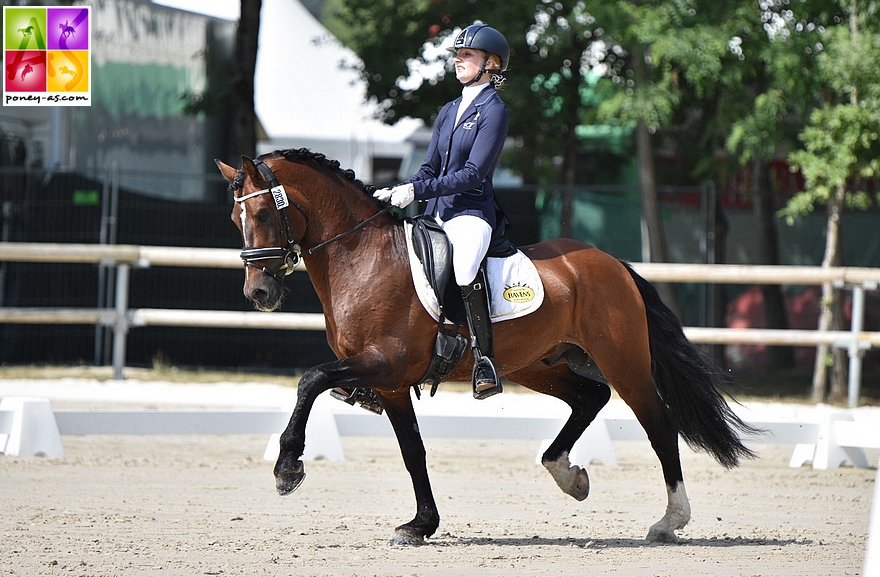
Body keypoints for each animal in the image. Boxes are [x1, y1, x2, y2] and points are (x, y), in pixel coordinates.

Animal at [215, 148, 756, 544]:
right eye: (235, 218)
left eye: (263, 212)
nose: (258, 294)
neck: (362, 256)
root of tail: (612, 263)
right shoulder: (391, 382)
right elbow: (413, 451)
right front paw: (420, 525)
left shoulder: (383, 364)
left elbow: (310, 380)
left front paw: (287, 468)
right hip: (536, 364)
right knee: (590, 397)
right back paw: (569, 475)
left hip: (623, 362)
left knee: (658, 423)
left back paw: (669, 521)